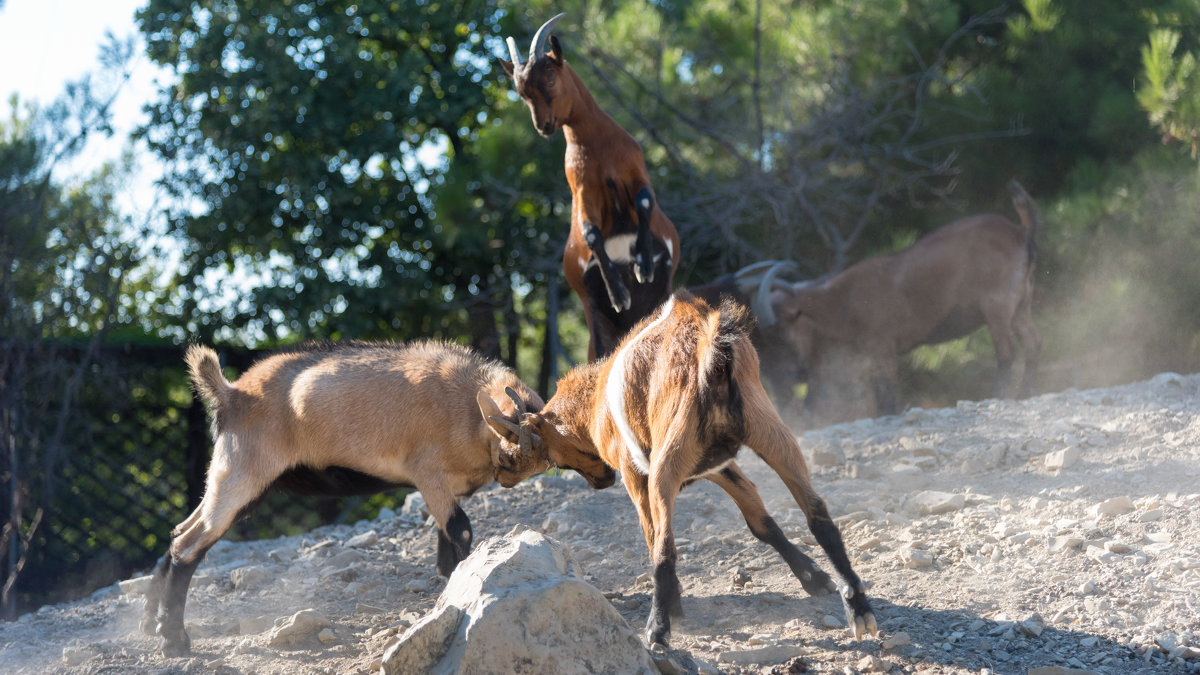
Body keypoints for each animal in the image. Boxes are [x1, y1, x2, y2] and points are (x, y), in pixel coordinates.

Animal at [138, 338, 619, 653]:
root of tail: (231, 394)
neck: (469, 409)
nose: (608, 475)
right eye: (567, 442)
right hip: (241, 475)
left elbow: (447, 544)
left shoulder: (443, 488)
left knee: (179, 531)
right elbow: (461, 532)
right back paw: (174, 641)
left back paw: (149, 623)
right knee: (188, 545)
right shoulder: (429, 474)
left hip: (234, 480)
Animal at [480, 290, 883, 648]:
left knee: (664, 548)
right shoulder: (719, 467)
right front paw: (814, 578)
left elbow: (653, 536)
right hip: (774, 436)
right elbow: (760, 520)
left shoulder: (637, 474)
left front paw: (673, 606)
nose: (602, 482)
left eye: (557, 458)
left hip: (666, 465)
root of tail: (711, 352)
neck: (598, 400)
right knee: (819, 516)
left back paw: (658, 630)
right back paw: (858, 607)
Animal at [501, 13, 681, 360]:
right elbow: (590, 232)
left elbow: (644, 202)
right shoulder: (583, 190)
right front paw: (620, 292)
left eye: (550, 77)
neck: (597, 146)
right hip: (597, 328)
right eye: (520, 91)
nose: (543, 126)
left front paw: (643, 264)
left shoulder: (635, 172)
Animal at [768, 180, 1041, 420]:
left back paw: (1000, 394)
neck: (841, 303)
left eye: (782, 333)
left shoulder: (882, 347)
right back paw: (1027, 392)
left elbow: (887, 390)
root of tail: (1020, 232)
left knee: (1007, 352)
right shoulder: (869, 357)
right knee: (1031, 345)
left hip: (997, 307)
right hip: (1021, 306)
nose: (782, 387)